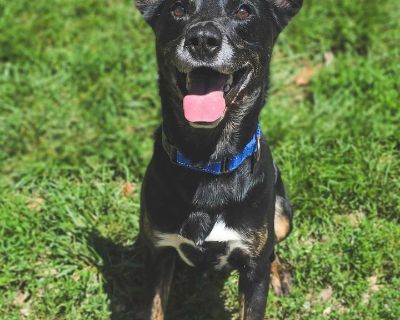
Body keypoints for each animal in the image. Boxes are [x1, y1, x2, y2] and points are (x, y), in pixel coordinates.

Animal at [136, 1, 302, 318]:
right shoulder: (157, 252)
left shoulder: (253, 270)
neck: (206, 163)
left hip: (283, 213)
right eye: (178, 10)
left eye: (244, 11)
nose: (202, 39)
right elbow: (154, 308)